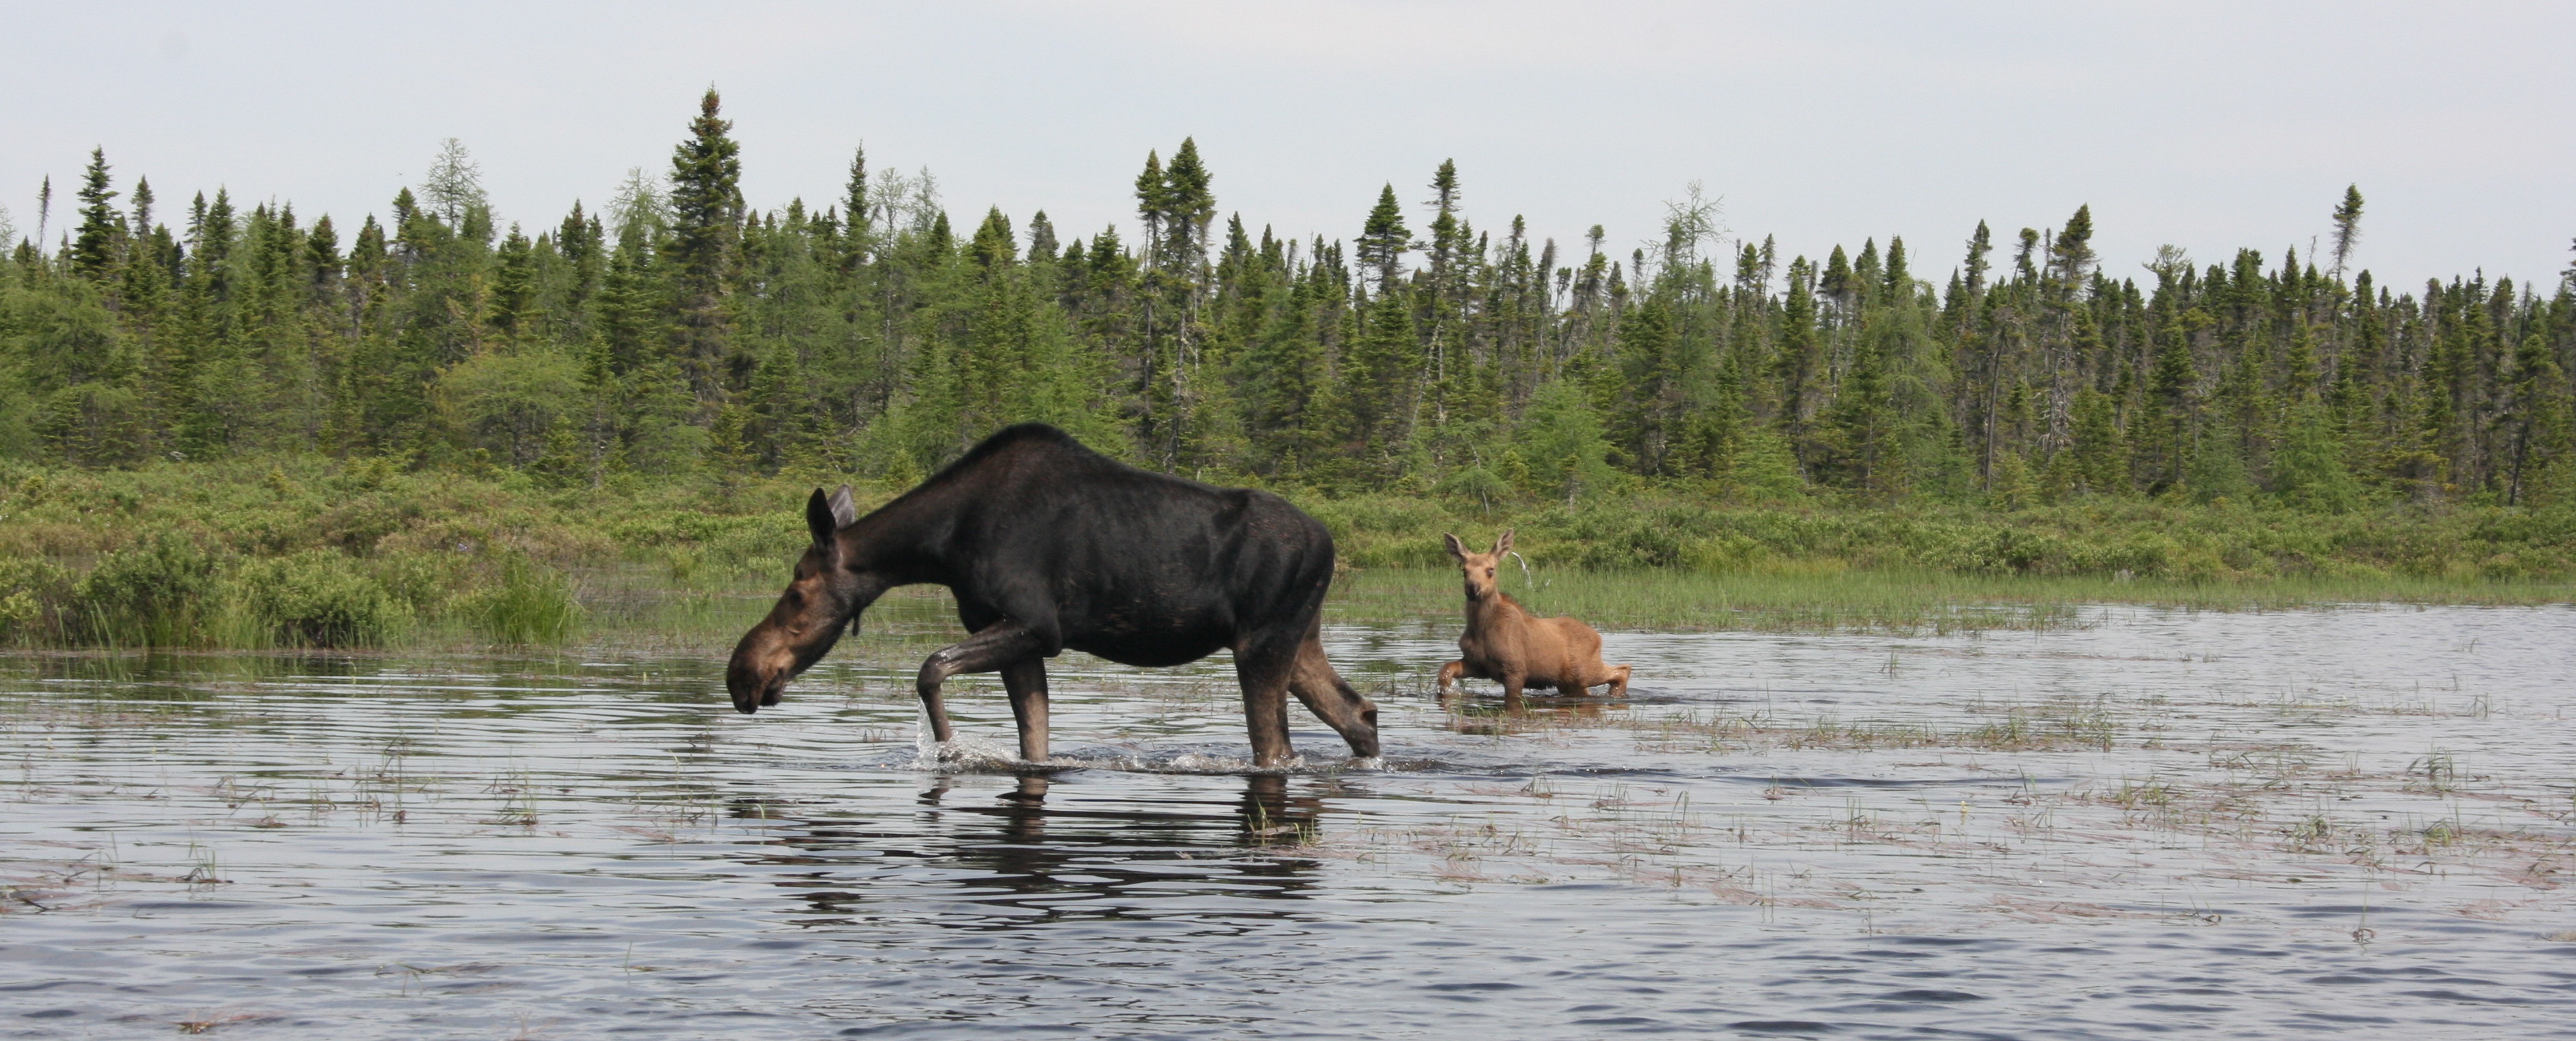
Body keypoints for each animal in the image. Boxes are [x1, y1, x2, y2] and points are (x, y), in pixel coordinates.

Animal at [726, 425, 1390, 773]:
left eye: (796, 592)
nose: (742, 675)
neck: (941, 545)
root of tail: (1330, 545)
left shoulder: (1036, 625)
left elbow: (930, 668)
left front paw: (948, 751)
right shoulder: (1019, 638)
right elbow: (1034, 742)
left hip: (1261, 644)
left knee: (1277, 747)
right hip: (1297, 640)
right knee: (1358, 712)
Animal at [1432, 528, 1627, 706]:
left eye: (1490, 570)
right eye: (1464, 570)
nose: (1473, 589)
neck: (1481, 627)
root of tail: (1598, 637)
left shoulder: (1515, 670)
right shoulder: (1478, 665)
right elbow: (1445, 670)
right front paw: (1444, 693)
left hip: (1583, 672)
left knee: (1623, 670)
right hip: (1569, 682)